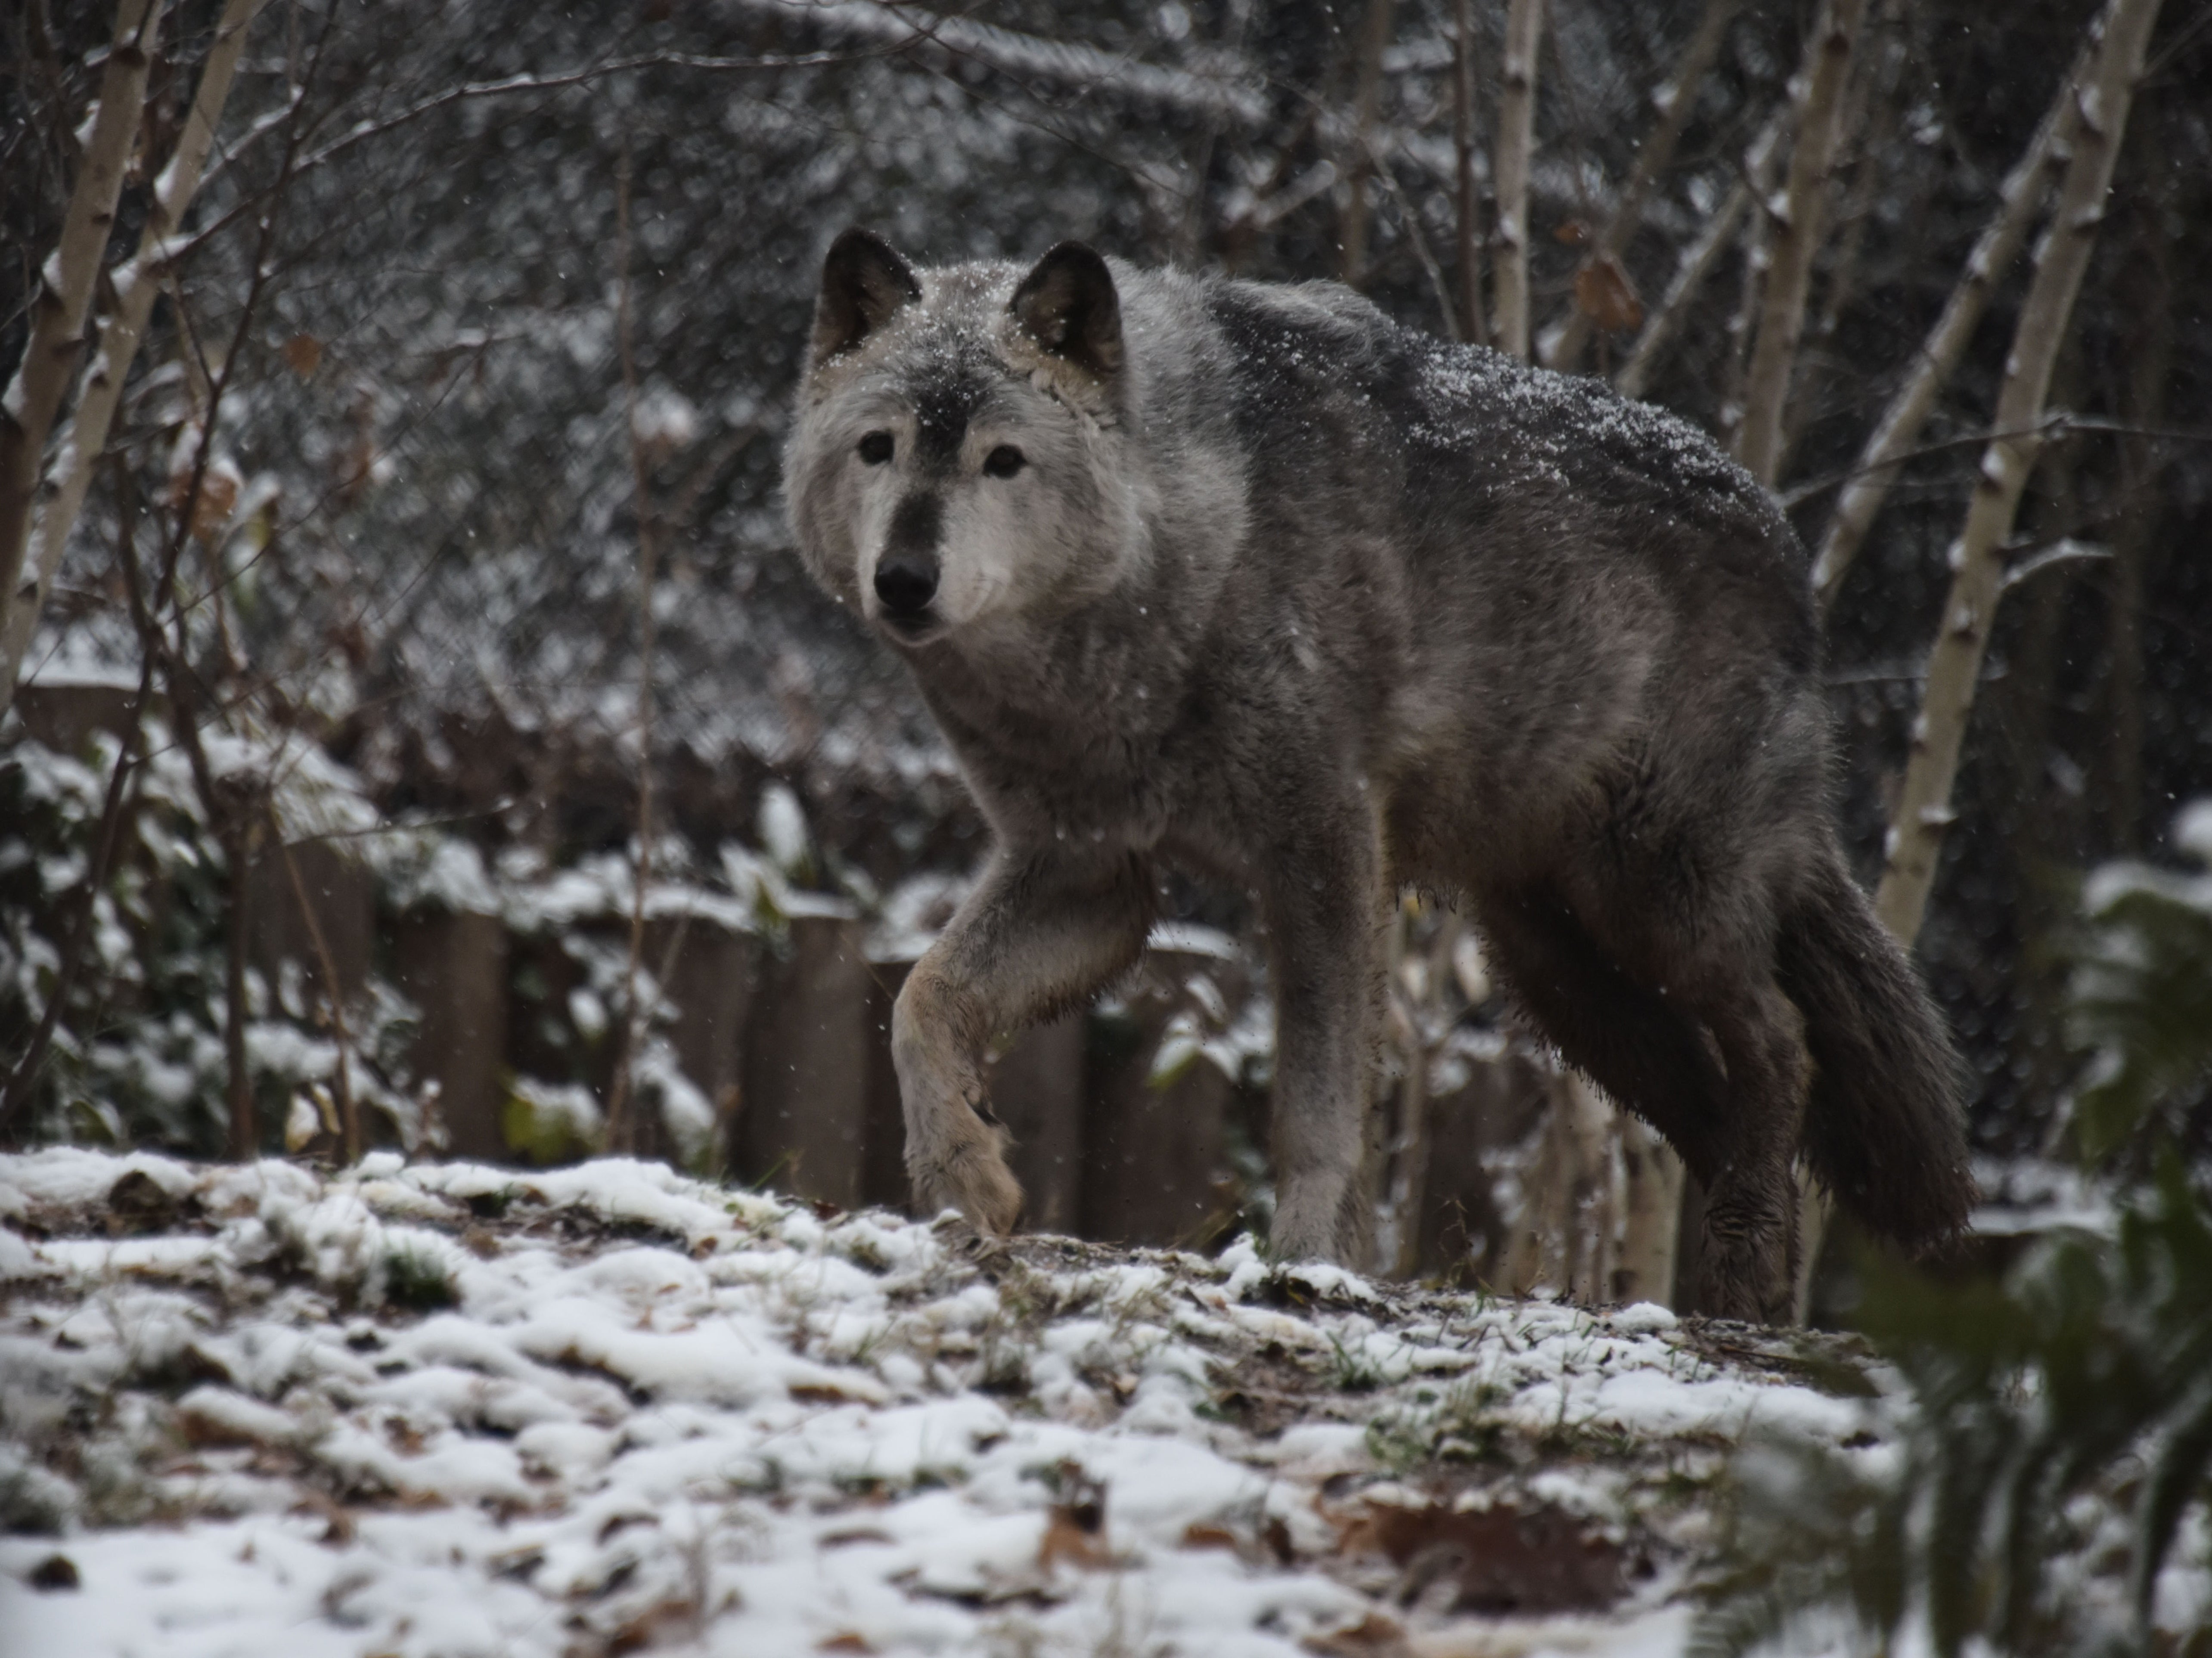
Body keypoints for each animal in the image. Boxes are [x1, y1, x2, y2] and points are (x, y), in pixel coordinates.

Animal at [782, 229, 1974, 1321]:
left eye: (1002, 460)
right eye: (880, 448)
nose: (903, 579)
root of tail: (1787, 545)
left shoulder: (1320, 850)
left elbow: (1315, 1106)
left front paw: (1314, 1262)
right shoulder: (1091, 876)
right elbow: (919, 1002)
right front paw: (962, 1178)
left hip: (1658, 917)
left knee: (1782, 1041)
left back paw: (1743, 1272)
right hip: (1560, 978)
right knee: (1712, 1096)